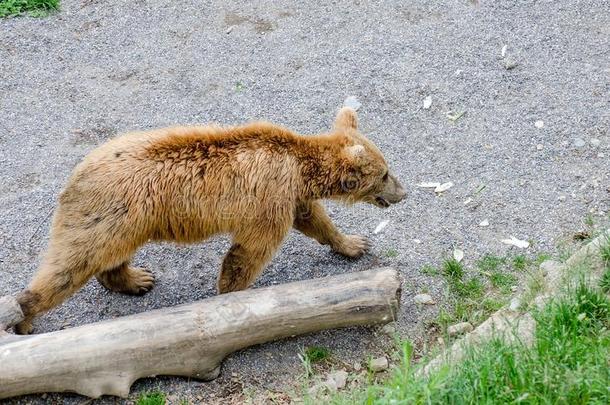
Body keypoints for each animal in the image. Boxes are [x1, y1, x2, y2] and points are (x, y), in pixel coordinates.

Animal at [14, 106, 404, 332]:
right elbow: (251, 250)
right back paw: (25, 318)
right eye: (385, 173)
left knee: (107, 258)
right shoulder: (269, 197)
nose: (403, 192)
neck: (300, 168)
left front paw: (353, 243)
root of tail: (77, 173)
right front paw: (230, 296)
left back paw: (137, 279)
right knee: (69, 265)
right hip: (109, 214)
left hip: (123, 223)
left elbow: (316, 220)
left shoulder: (292, 195)